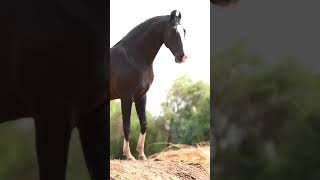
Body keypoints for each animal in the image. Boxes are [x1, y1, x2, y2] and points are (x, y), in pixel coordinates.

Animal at [109, 9, 186, 160]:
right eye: (173, 31)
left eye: (184, 31)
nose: (182, 57)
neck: (134, 56)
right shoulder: (126, 97)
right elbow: (127, 125)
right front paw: (129, 155)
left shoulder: (141, 96)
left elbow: (144, 123)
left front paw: (141, 154)